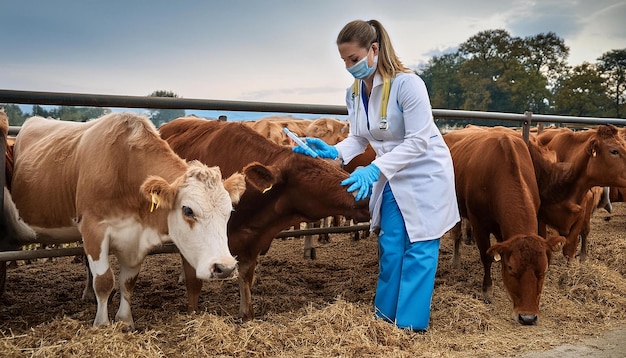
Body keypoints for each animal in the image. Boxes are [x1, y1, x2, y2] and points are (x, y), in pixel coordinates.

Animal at [10, 113, 254, 328]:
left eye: (229, 211)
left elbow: (127, 282)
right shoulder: (93, 230)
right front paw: (102, 324)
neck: (123, 169)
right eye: (188, 210)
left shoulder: (137, 238)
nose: (225, 267)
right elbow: (104, 281)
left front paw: (125, 321)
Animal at [158, 117, 370, 322]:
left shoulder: (251, 244)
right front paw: (192, 316)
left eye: (333, 166)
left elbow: (246, 282)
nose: (368, 195)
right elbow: (194, 287)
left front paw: (246, 316)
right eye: (312, 173)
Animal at [442, 127, 564, 326]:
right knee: (456, 234)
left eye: (544, 270)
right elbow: (486, 256)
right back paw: (456, 260)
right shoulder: (478, 223)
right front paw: (487, 289)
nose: (528, 317)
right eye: (512, 268)